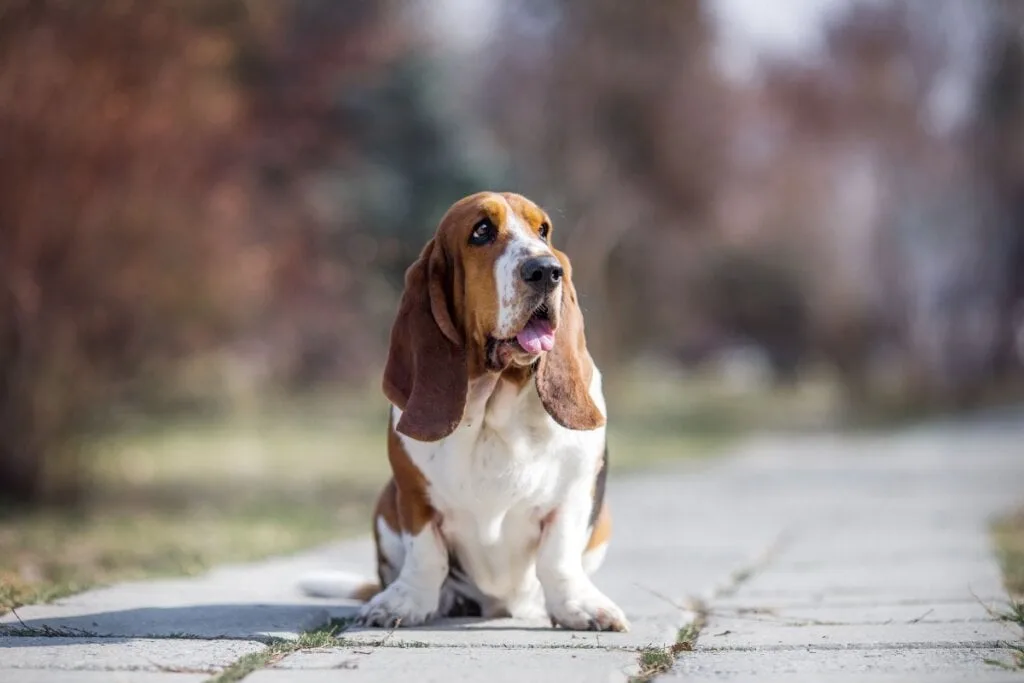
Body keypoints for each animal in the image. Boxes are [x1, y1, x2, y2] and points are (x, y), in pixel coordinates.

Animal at [299, 189, 626, 634]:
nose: (547, 270)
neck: (492, 406)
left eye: (543, 230)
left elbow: (558, 558)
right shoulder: (414, 495)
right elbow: (426, 555)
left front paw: (579, 607)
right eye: (481, 231)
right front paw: (404, 603)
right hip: (385, 502)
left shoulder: (574, 495)